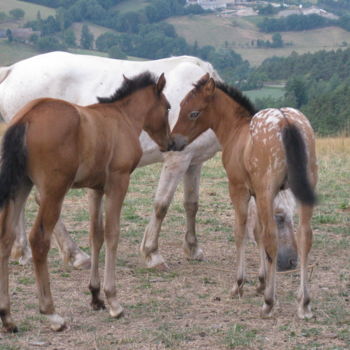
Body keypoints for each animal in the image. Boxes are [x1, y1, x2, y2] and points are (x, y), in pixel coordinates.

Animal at [0, 51, 298, 270]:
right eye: (279, 217)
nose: (289, 262)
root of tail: (12, 70)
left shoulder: (194, 163)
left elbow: (191, 205)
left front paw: (193, 248)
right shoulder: (177, 159)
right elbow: (161, 205)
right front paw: (152, 254)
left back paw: (22, 251)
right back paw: (75, 255)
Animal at [0, 72, 174, 334]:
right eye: (168, 107)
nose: (171, 143)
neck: (121, 117)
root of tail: (27, 117)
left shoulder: (95, 189)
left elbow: (96, 235)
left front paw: (95, 296)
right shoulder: (118, 182)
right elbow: (112, 234)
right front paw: (113, 301)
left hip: (20, 186)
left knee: (6, 238)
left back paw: (7, 317)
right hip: (54, 190)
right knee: (39, 239)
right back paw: (52, 314)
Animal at [171, 74, 318, 320]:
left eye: (194, 113)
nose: (173, 142)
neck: (236, 130)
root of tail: (286, 122)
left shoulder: (239, 189)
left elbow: (241, 232)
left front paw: (239, 285)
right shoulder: (257, 193)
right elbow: (257, 232)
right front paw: (261, 282)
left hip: (267, 189)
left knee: (272, 238)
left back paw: (269, 303)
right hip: (302, 190)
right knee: (305, 237)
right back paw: (304, 303)